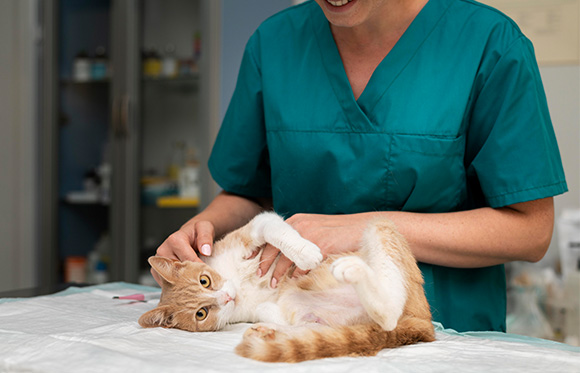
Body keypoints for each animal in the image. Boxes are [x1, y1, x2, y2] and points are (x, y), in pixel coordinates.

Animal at [138, 212, 432, 360]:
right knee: (380, 318)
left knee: (389, 311)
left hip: (381, 225)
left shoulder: (257, 227)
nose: (226, 297)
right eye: (201, 313)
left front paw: (305, 253)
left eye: (205, 281)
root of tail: (423, 322)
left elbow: (275, 231)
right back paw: (268, 331)